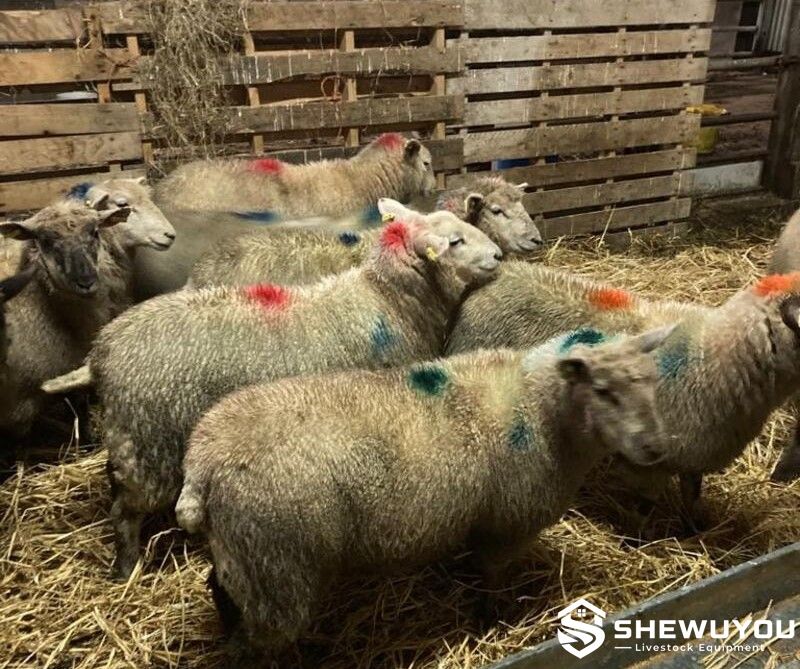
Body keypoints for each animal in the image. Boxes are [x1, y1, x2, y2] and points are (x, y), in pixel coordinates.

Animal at [62, 200, 502, 579]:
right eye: (455, 242)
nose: (498, 256)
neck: (388, 299)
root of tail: (101, 353)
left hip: (130, 440)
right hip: (149, 442)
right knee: (125, 512)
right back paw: (126, 569)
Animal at [175, 326, 670, 659]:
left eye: (651, 381)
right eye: (603, 390)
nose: (654, 447)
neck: (540, 408)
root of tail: (203, 460)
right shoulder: (507, 524)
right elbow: (491, 577)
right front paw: (492, 618)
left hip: (244, 549)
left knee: (219, 587)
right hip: (279, 561)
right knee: (262, 637)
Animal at [446, 262, 800, 528]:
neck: (710, 354)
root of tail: (499, 273)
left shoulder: (692, 456)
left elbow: (691, 495)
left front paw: (693, 529)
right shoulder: (644, 463)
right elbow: (644, 506)